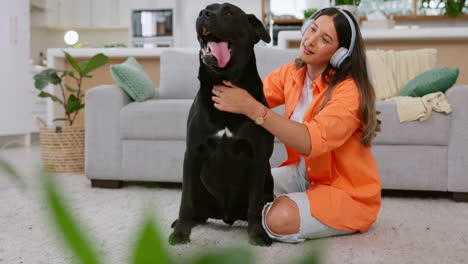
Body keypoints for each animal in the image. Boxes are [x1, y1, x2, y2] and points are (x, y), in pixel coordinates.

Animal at [169, 2, 274, 245]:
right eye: (204, 9)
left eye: (228, 12)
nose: (203, 14)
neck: (224, 82)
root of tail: (226, 215)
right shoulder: (193, 152)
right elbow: (185, 200)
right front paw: (180, 233)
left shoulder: (257, 156)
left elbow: (254, 204)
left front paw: (257, 234)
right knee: (196, 210)